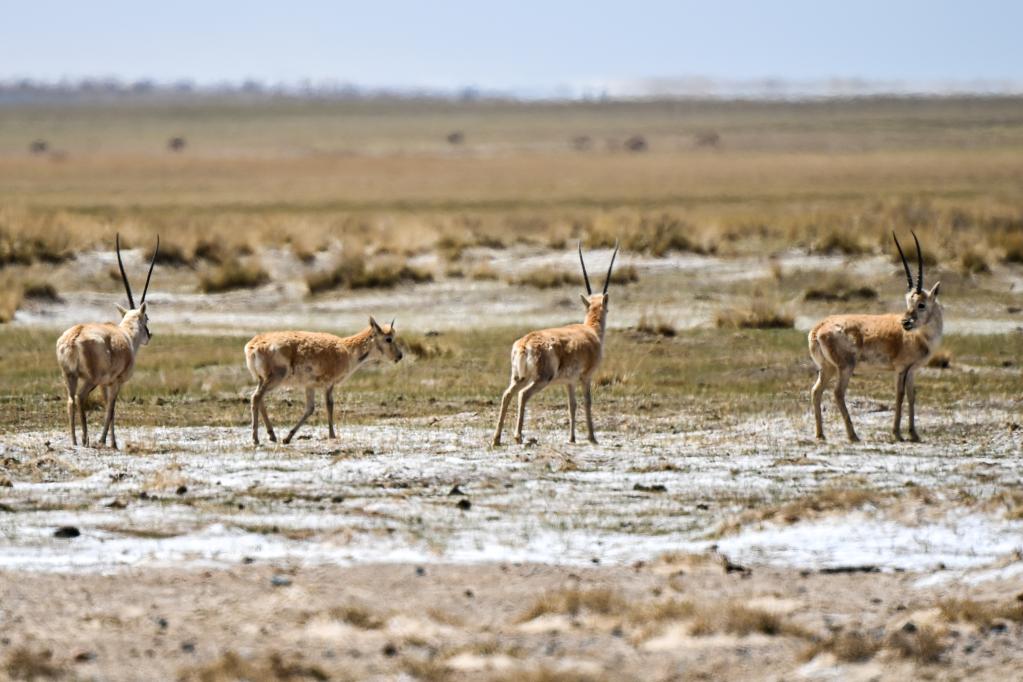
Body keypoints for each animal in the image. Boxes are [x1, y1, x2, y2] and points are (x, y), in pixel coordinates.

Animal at [55, 232, 158, 449]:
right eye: (147, 317)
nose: (149, 336)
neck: (126, 333)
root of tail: (75, 335)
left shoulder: (105, 384)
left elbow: (107, 406)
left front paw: (110, 441)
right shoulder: (116, 381)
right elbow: (112, 408)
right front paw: (107, 441)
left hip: (69, 376)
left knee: (70, 401)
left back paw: (74, 440)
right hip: (89, 379)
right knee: (80, 398)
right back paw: (85, 439)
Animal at [244, 316, 403, 445]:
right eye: (389, 338)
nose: (400, 356)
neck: (347, 350)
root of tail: (253, 346)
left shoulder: (309, 386)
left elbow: (310, 409)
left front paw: (287, 438)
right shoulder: (329, 384)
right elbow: (329, 405)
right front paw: (332, 435)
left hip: (263, 379)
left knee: (258, 398)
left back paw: (272, 436)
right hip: (275, 378)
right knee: (256, 397)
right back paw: (256, 439)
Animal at [491, 241, 617, 447]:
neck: (590, 331)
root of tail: (525, 343)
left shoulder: (569, 382)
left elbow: (572, 405)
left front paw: (572, 438)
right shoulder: (585, 378)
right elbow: (587, 402)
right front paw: (592, 437)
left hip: (520, 377)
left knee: (507, 394)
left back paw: (497, 439)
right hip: (541, 379)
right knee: (523, 395)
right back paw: (518, 436)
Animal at [810, 232, 945, 445]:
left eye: (921, 304)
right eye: (909, 302)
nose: (905, 322)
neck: (920, 336)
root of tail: (819, 328)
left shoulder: (912, 370)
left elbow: (911, 396)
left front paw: (914, 434)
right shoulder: (900, 369)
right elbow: (899, 396)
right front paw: (897, 433)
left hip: (827, 368)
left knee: (816, 391)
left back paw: (821, 434)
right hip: (845, 367)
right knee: (838, 393)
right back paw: (853, 435)